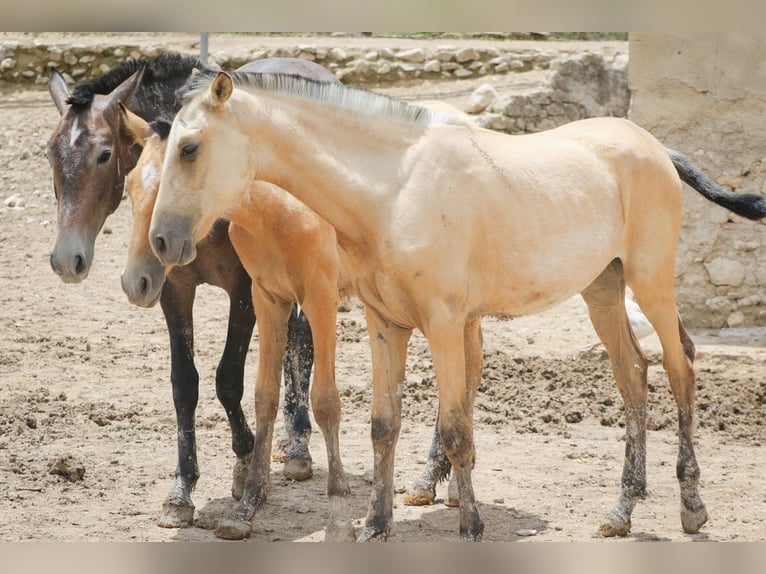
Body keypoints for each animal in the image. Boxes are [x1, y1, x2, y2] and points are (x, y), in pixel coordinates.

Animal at [44, 56, 340, 528]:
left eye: (104, 154)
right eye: (50, 153)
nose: (66, 259)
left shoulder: (245, 289)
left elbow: (228, 379)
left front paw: (244, 465)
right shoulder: (174, 290)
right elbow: (185, 383)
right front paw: (181, 492)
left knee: (304, 342)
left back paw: (297, 448)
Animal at [148, 71, 766, 540]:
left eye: (189, 148)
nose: (162, 242)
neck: (394, 191)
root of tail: (656, 147)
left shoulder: (442, 324)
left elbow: (454, 427)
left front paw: (469, 525)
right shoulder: (384, 325)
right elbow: (383, 425)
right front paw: (376, 524)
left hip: (651, 283)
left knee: (681, 369)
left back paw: (691, 505)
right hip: (602, 290)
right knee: (634, 375)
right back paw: (622, 510)